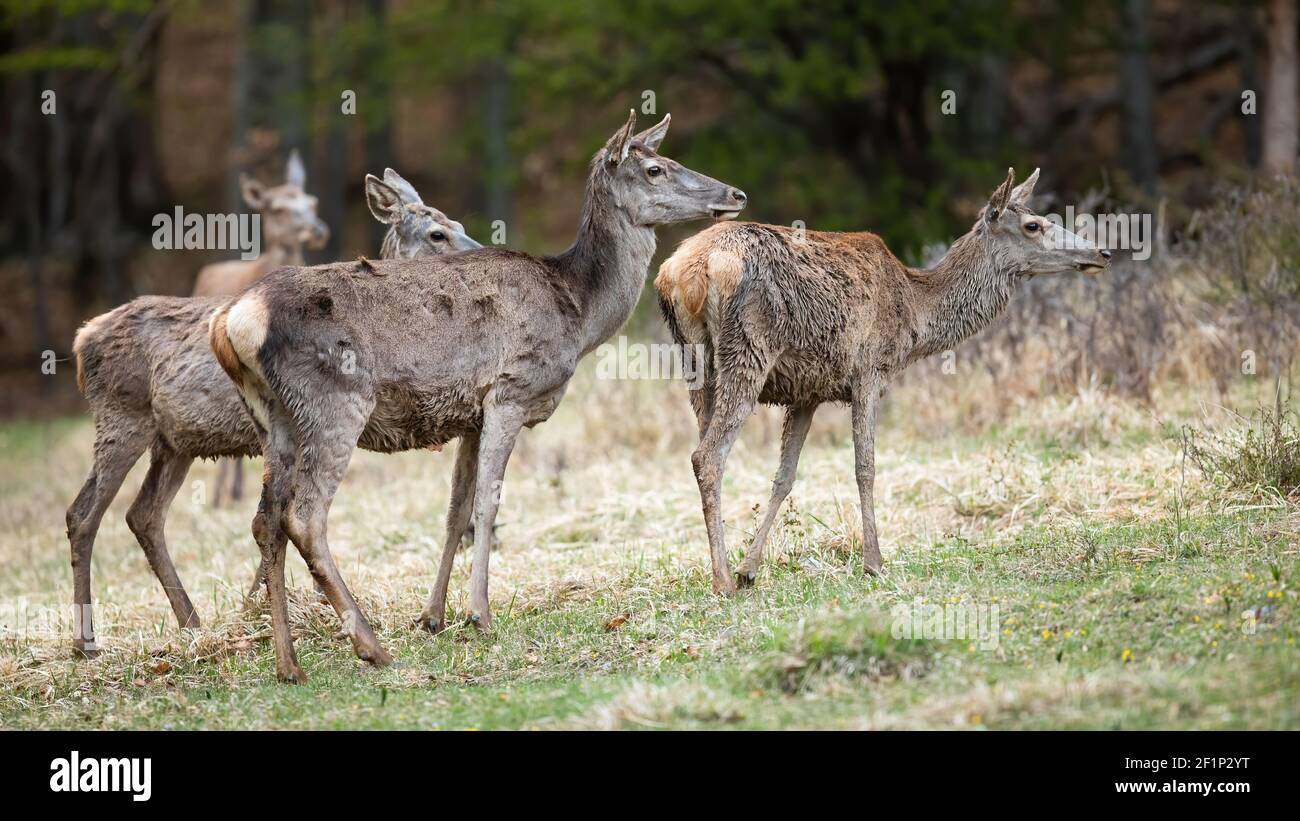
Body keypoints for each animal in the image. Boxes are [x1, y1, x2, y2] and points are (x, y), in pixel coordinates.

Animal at [63, 170, 475, 657]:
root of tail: (81, 340)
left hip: (175, 442)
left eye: (457, 223)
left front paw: (264, 610)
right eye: (437, 233)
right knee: (83, 514)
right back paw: (86, 642)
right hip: (121, 417)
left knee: (143, 515)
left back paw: (191, 622)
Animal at [208, 112, 748, 680]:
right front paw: (479, 614)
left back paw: (288, 663)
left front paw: (433, 614)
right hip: (335, 401)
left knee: (265, 519)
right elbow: (489, 503)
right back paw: (370, 645)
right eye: (655, 168)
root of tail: (232, 322)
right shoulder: (511, 391)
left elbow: (456, 510)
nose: (735, 193)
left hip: (273, 419)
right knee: (305, 516)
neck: (578, 313)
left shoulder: (469, 415)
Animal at [655, 166, 1112, 592]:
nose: (1103, 251)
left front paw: (751, 568)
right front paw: (873, 562)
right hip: (748, 347)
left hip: (694, 361)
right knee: (708, 456)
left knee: (704, 449)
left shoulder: (807, 391)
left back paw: (724, 570)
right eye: (1034, 225)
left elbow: (785, 477)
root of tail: (684, 271)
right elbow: (865, 466)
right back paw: (721, 581)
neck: (915, 315)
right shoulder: (868, 371)